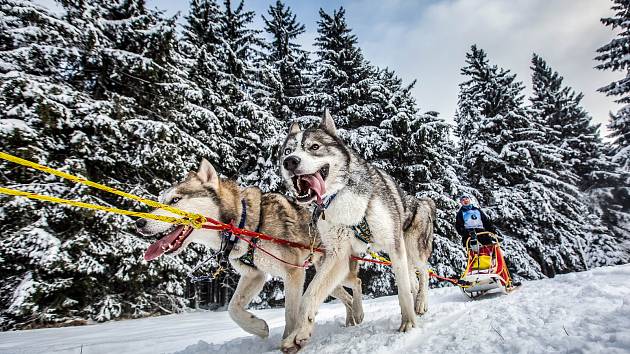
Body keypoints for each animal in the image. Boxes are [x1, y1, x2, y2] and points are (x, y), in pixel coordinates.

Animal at [138, 160, 366, 340]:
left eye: (175, 200)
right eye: (160, 201)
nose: (140, 223)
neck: (242, 221)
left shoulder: (293, 274)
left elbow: (290, 314)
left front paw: (287, 338)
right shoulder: (254, 275)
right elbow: (233, 308)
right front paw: (258, 327)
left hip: (334, 272)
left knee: (357, 282)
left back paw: (358, 314)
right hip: (325, 277)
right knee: (346, 296)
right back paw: (350, 320)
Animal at [280, 110, 434, 352]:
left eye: (314, 146)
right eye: (287, 151)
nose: (290, 162)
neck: (341, 198)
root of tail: (421, 201)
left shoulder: (394, 245)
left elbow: (402, 291)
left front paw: (408, 323)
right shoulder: (337, 255)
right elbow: (309, 295)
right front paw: (299, 333)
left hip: (412, 250)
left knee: (424, 274)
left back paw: (420, 303)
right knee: (413, 280)